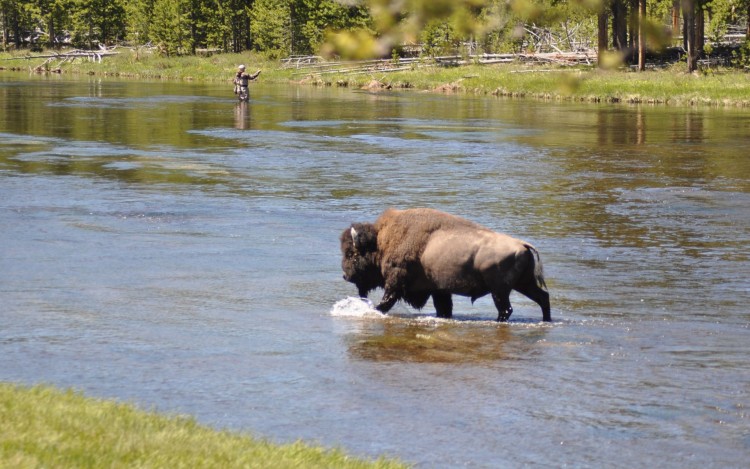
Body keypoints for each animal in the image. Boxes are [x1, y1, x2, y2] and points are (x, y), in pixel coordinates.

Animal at [342, 208, 552, 322]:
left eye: (352, 253)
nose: (345, 276)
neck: (381, 241)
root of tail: (522, 245)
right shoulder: (439, 289)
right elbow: (443, 308)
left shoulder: (395, 282)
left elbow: (386, 302)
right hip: (523, 284)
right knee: (542, 297)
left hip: (500, 290)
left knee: (506, 309)